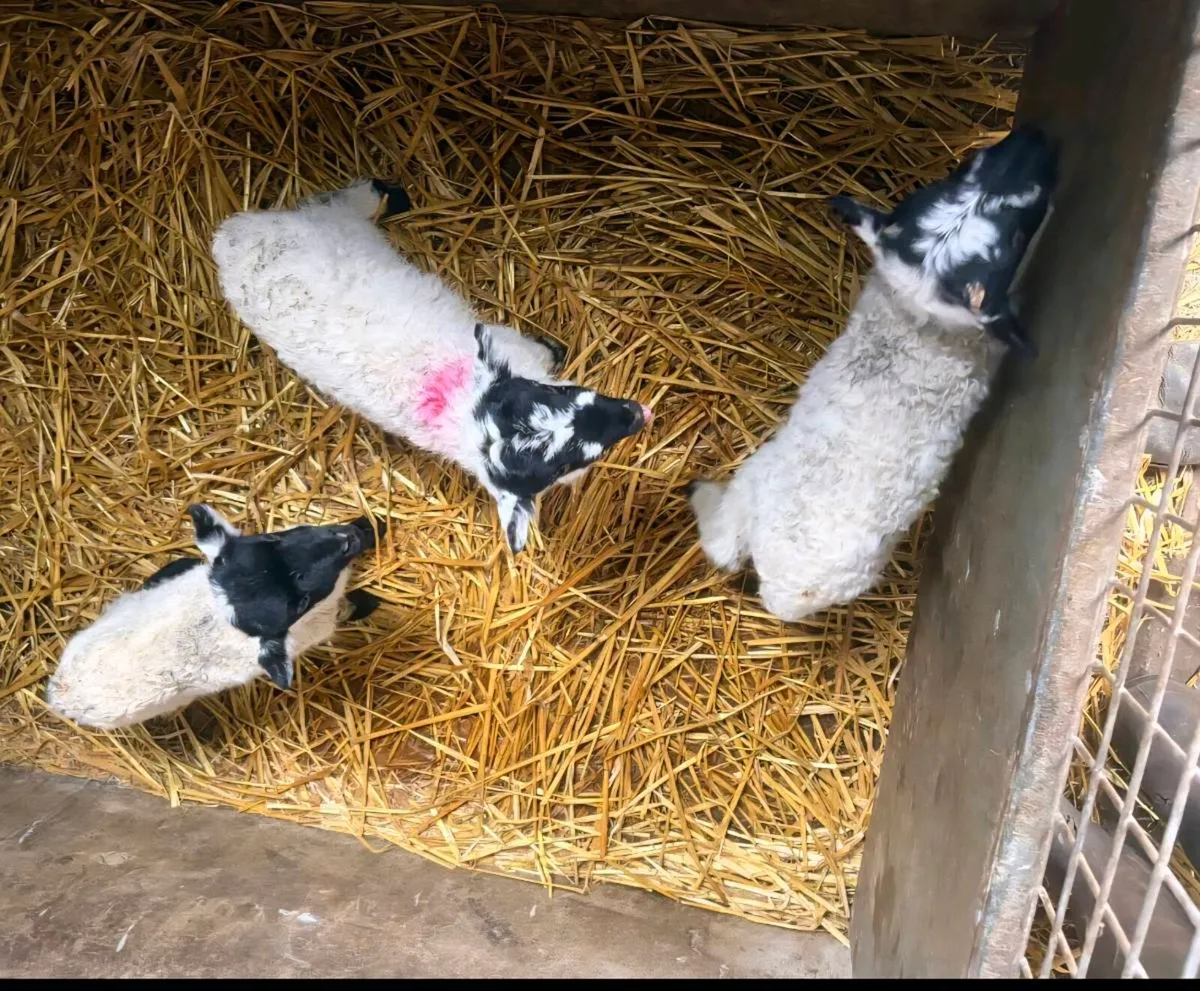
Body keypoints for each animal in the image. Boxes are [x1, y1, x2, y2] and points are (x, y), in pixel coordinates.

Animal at [44, 506, 384, 730]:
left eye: (273, 537)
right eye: (300, 603)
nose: (347, 539)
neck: (215, 612)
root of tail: (60, 694)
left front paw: (371, 525)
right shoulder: (315, 626)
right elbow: (345, 610)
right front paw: (369, 601)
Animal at [210, 180, 654, 555]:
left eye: (557, 395)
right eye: (564, 462)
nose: (635, 412)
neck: (458, 402)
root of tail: (230, 239)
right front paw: (557, 350)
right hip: (335, 227)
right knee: (348, 202)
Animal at [686, 124, 1058, 623]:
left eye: (962, 167)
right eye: (1012, 233)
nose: (1035, 138)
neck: (911, 319)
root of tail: (770, 559)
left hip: (749, 482)